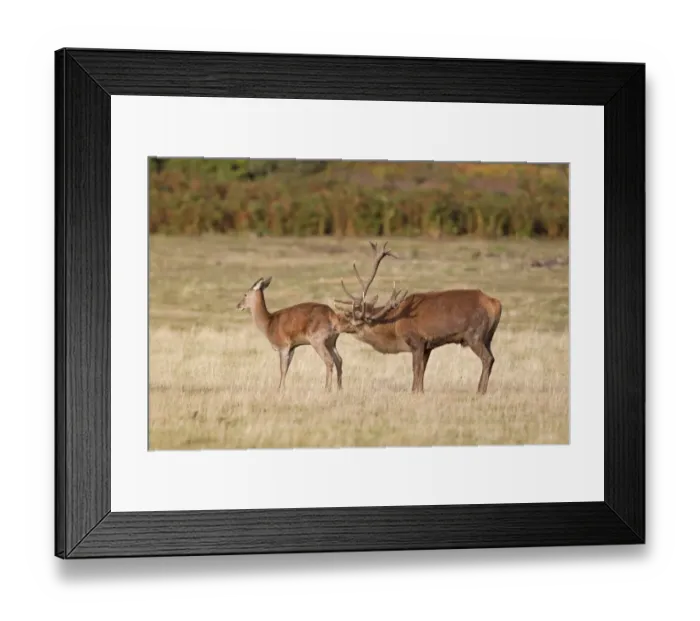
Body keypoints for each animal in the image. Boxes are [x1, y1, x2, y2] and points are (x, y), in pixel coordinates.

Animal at [333, 241, 503, 394]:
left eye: (349, 319)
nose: (336, 325)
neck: (394, 326)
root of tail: (495, 303)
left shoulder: (417, 340)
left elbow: (416, 369)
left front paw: (414, 391)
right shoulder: (428, 346)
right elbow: (423, 370)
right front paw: (420, 391)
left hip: (474, 334)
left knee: (488, 359)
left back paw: (480, 391)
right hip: (487, 337)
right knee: (492, 358)